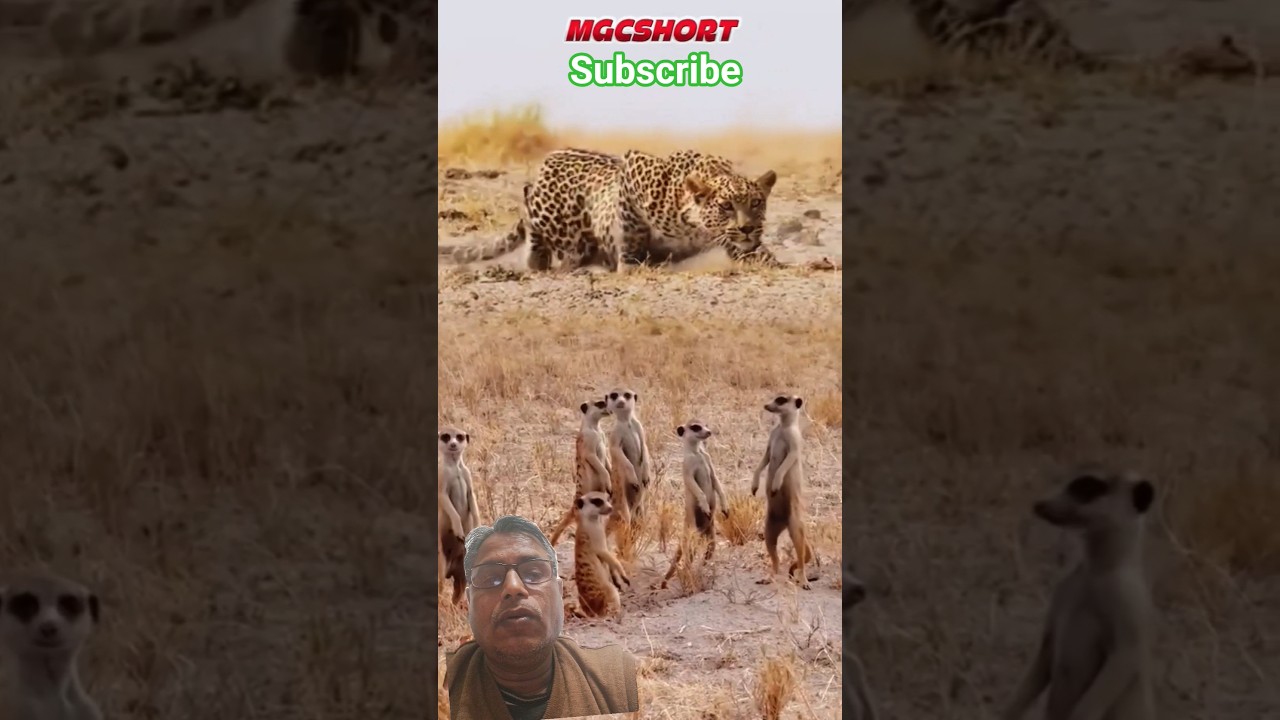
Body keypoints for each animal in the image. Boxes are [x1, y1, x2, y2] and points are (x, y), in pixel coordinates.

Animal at [439, 147, 785, 273]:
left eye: (757, 203)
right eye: (726, 206)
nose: (747, 228)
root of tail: (548, 160)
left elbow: (758, 253)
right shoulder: (632, 173)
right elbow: (630, 229)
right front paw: (630, 262)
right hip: (553, 213)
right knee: (536, 218)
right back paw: (544, 259)